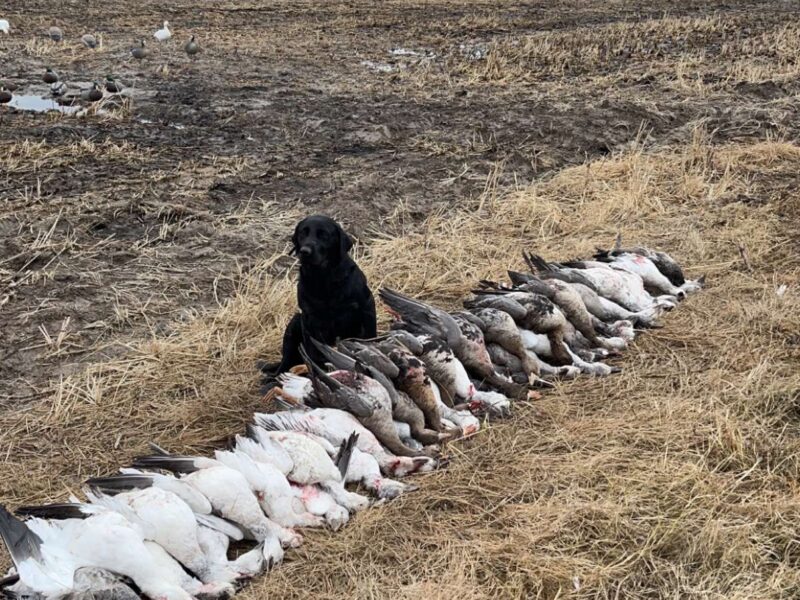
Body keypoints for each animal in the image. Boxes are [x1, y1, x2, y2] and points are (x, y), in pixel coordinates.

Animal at [260, 214, 376, 380]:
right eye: (302, 233)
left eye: (324, 235)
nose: (304, 251)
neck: (324, 280)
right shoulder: (309, 319)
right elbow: (313, 352)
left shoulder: (366, 307)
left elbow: (369, 336)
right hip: (294, 324)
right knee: (285, 362)